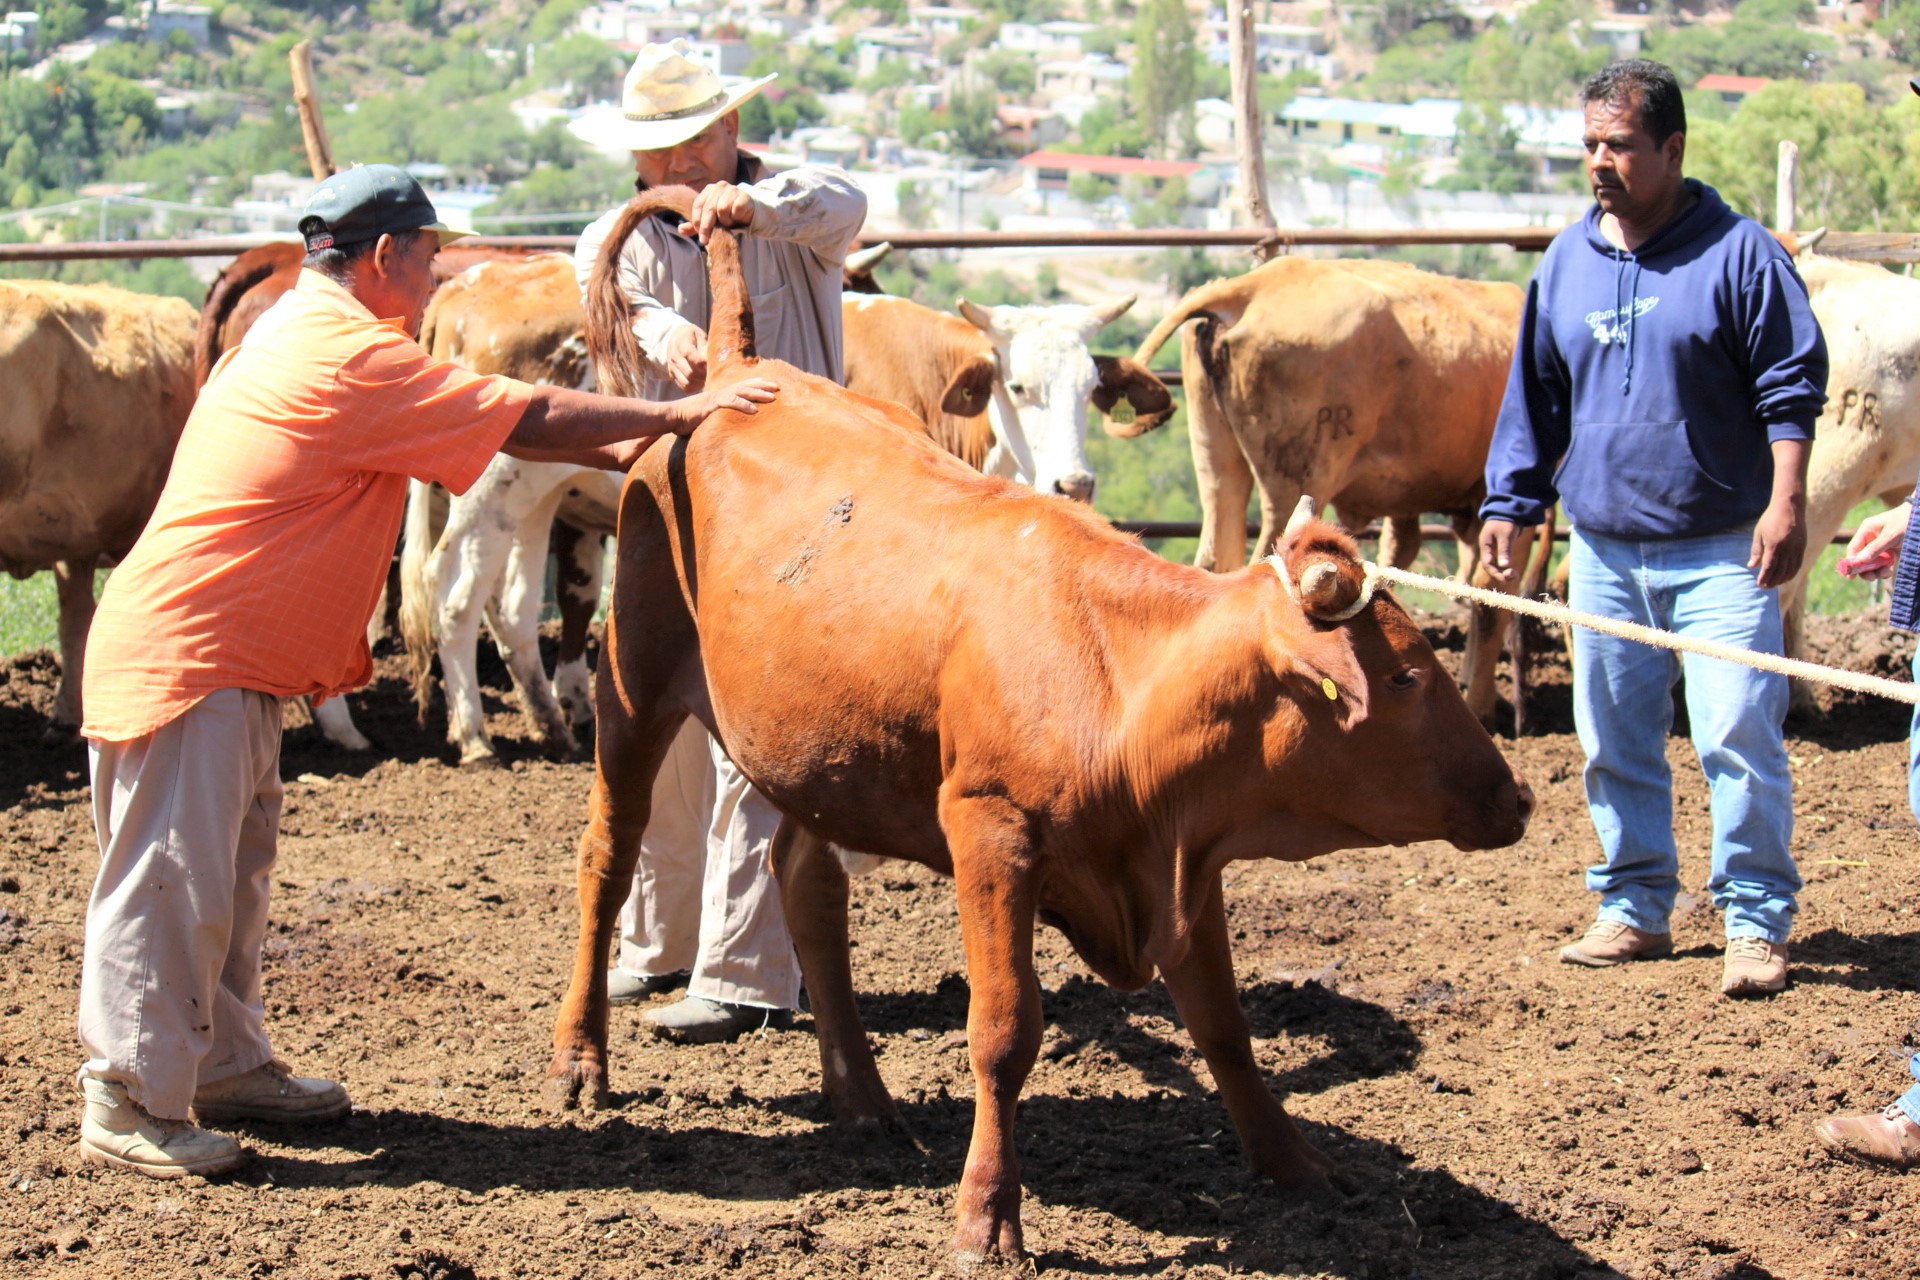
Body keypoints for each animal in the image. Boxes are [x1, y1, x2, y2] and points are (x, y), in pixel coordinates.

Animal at [549, 188, 1536, 1258]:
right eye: (1403, 676)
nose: (1517, 797)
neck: (1110, 668)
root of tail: (737, 375)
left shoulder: (1183, 856)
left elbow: (1224, 1025)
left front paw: (1295, 1164)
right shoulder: (990, 834)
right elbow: (1004, 1028)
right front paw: (987, 1213)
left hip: (823, 752)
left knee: (804, 882)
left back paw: (862, 1097)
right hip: (636, 681)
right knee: (609, 855)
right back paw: (581, 1062)